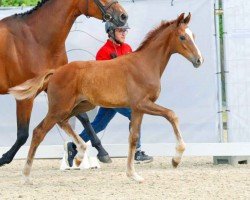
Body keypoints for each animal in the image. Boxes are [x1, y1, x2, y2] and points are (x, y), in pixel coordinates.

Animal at [0, 0, 128, 167]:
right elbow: (22, 134)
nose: (123, 16)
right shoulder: (25, 97)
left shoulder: (57, 86)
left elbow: (84, 118)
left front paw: (102, 151)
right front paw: (4, 158)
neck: (36, 39)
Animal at [9, 12, 204, 183]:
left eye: (193, 35)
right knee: (39, 131)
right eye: (182, 37)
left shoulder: (137, 109)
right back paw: (26, 176)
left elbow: (133, 138)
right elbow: (172, 115)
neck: (145, 65)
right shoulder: (142, 104)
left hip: (79, 106)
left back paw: (79, 154)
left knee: (63, 122)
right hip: (60, 107)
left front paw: (133, 174)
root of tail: (55, 72)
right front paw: (176, 159)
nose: (199, 60)